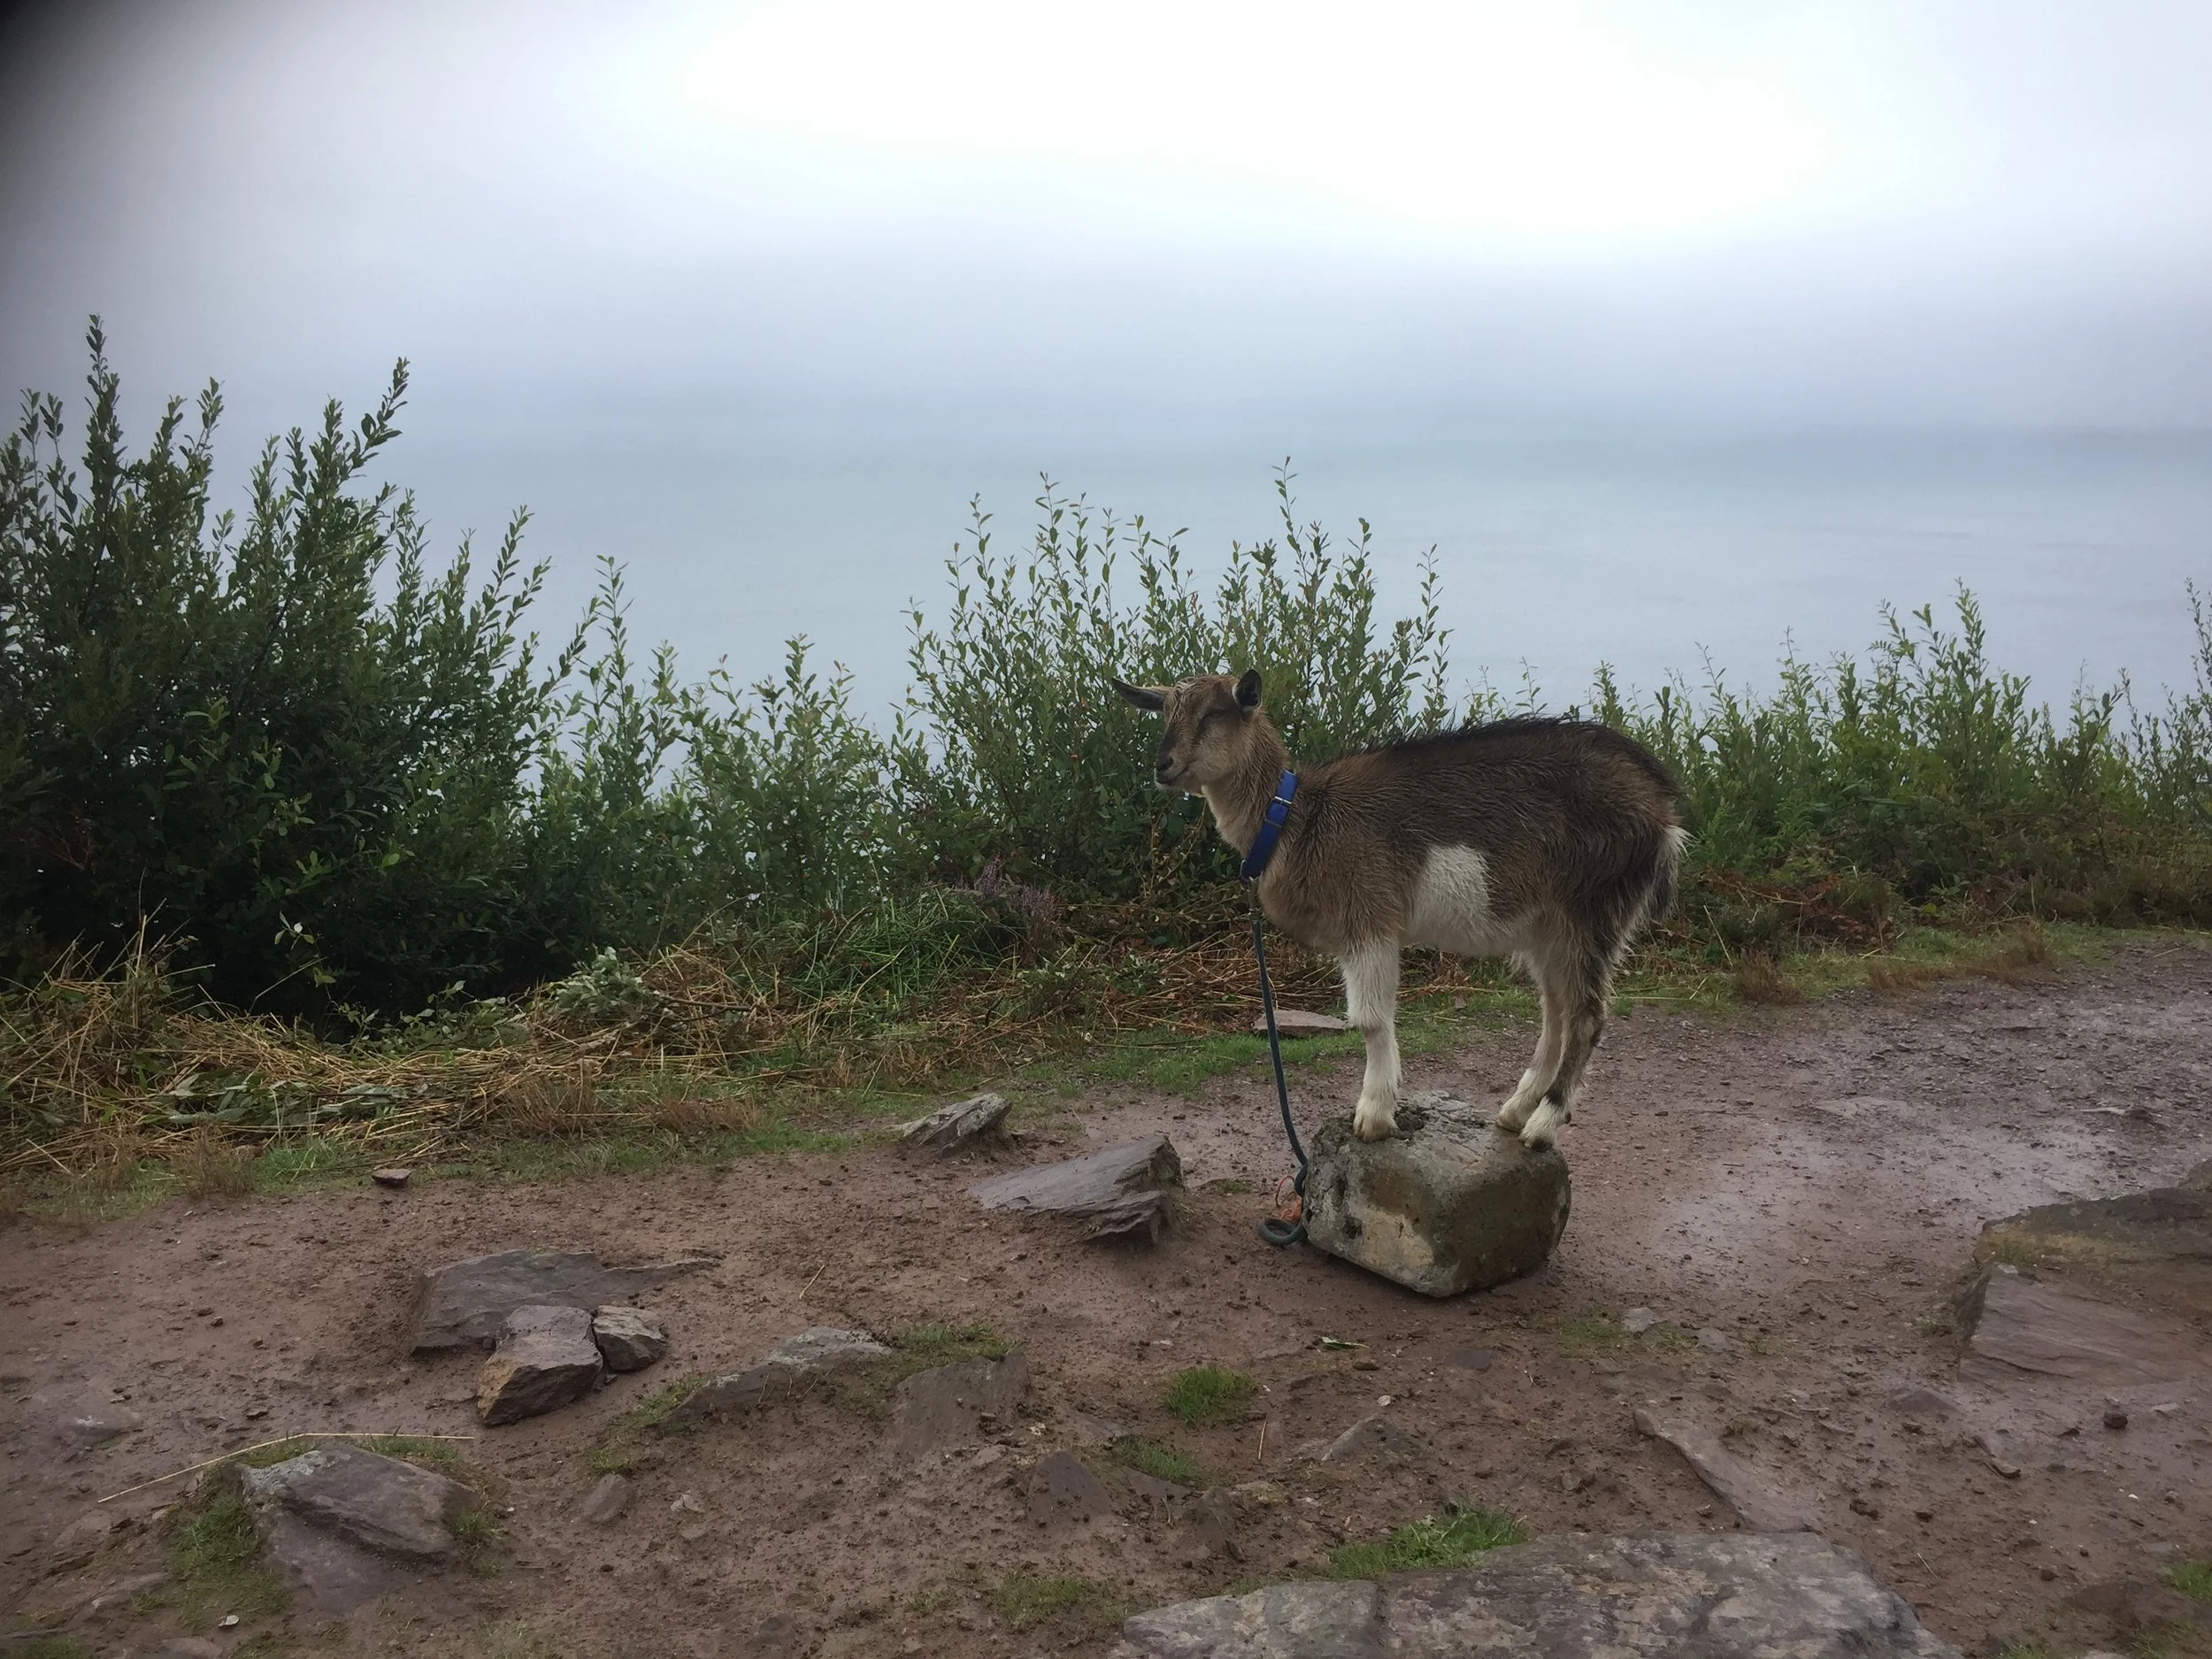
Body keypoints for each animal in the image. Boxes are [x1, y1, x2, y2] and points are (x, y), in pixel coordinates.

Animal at [1110, 670, 1683, 1149]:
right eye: (1165, 712)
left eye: (1213, 714)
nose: (1163, 766)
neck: (1296, 817)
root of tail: (1663, 810)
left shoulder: (1370, 918)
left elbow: (1369, 1020)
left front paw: (1373, 1116)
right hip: (1548, 927)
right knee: (1556, 1010)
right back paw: (1516, 1109)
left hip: (1592, 911)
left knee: (1586, 1015)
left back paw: (1542, 1126)